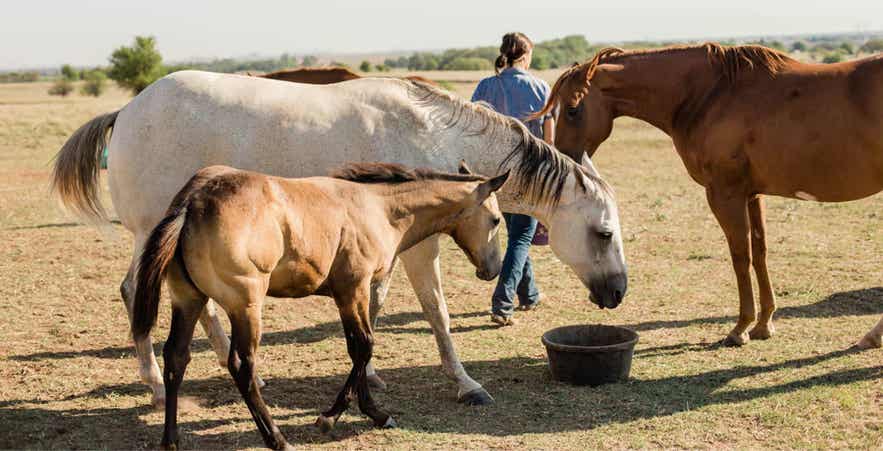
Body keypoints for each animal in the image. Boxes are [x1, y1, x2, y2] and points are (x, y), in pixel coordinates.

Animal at [51, 71, 627, 408]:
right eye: (602, 233)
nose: (618, 292)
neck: (432, 135)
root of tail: (126, 112)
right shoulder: (421, 249)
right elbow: (437, 313)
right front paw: (466, 384)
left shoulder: (385, 247)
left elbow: (373, 305)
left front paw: (369, 375)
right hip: (152, 236)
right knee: (136, 294)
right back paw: (153, 385)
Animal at [132, 162, 509, 449]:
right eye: (496, 220)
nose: (491, 269)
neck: (378, 209)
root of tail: (192, 202)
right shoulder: (353, 290)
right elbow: (364, 347)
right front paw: (330, 417)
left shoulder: (353, 295)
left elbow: (359, 349)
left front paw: (375, 412)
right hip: (246, 306)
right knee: (241, 365)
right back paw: (277, 438)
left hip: (188, 300)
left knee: (176, 357)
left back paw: (171, 440)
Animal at [536, 43, 883, 347]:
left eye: (572, 109)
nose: (564, 158)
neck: (711, 94)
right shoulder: (752, 195)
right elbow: (759, 252)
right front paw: (763, 324)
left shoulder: (725, 194)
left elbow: (740, 257)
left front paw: (740, 328)